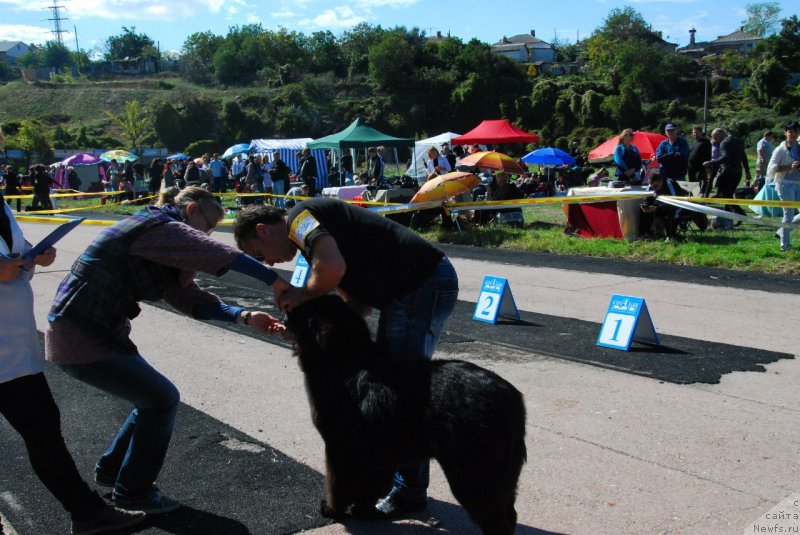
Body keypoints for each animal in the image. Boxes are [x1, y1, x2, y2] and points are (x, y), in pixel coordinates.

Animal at [286, 296, 524, 532]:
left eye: (301, 308)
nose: (286, 310)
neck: (344, 360)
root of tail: (511, 397)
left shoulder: (339, 447)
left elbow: (337, 485)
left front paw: (332, 509)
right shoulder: (377, 453)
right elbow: (368, 486)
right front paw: (364, 511)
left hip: (472, 473)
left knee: (497, 520)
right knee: (510, 514)